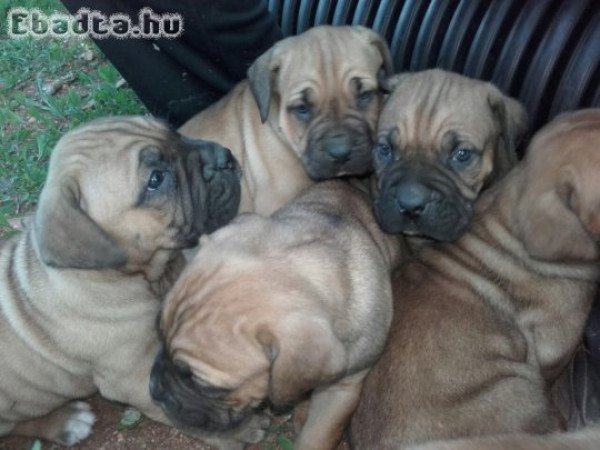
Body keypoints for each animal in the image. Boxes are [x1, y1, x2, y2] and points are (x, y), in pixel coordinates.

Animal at [0, 117, 241, 446]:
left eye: (173, 133)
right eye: (155, 179)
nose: (225, 157)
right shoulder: (134, 378)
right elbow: (177, 411)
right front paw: (237, 432)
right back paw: (65, 422)